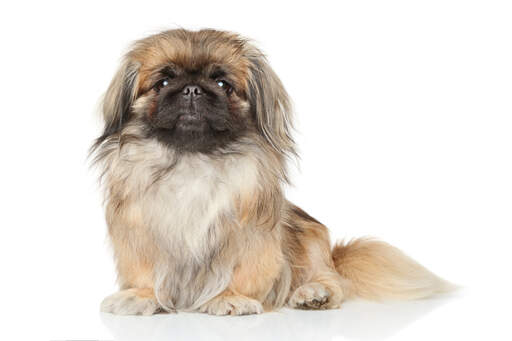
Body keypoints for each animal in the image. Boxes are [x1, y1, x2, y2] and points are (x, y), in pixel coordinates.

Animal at [93, 29, 452, 316]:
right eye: (164, 81)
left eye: (223, 84)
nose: (192, 89)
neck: (194, 159)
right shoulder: (140, 233)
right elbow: (144, 271)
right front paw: (142, 296)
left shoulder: (250, 236)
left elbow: (244, 271)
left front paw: (231, 297)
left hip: (311, 239)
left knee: (332, 280)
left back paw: (313, 293)